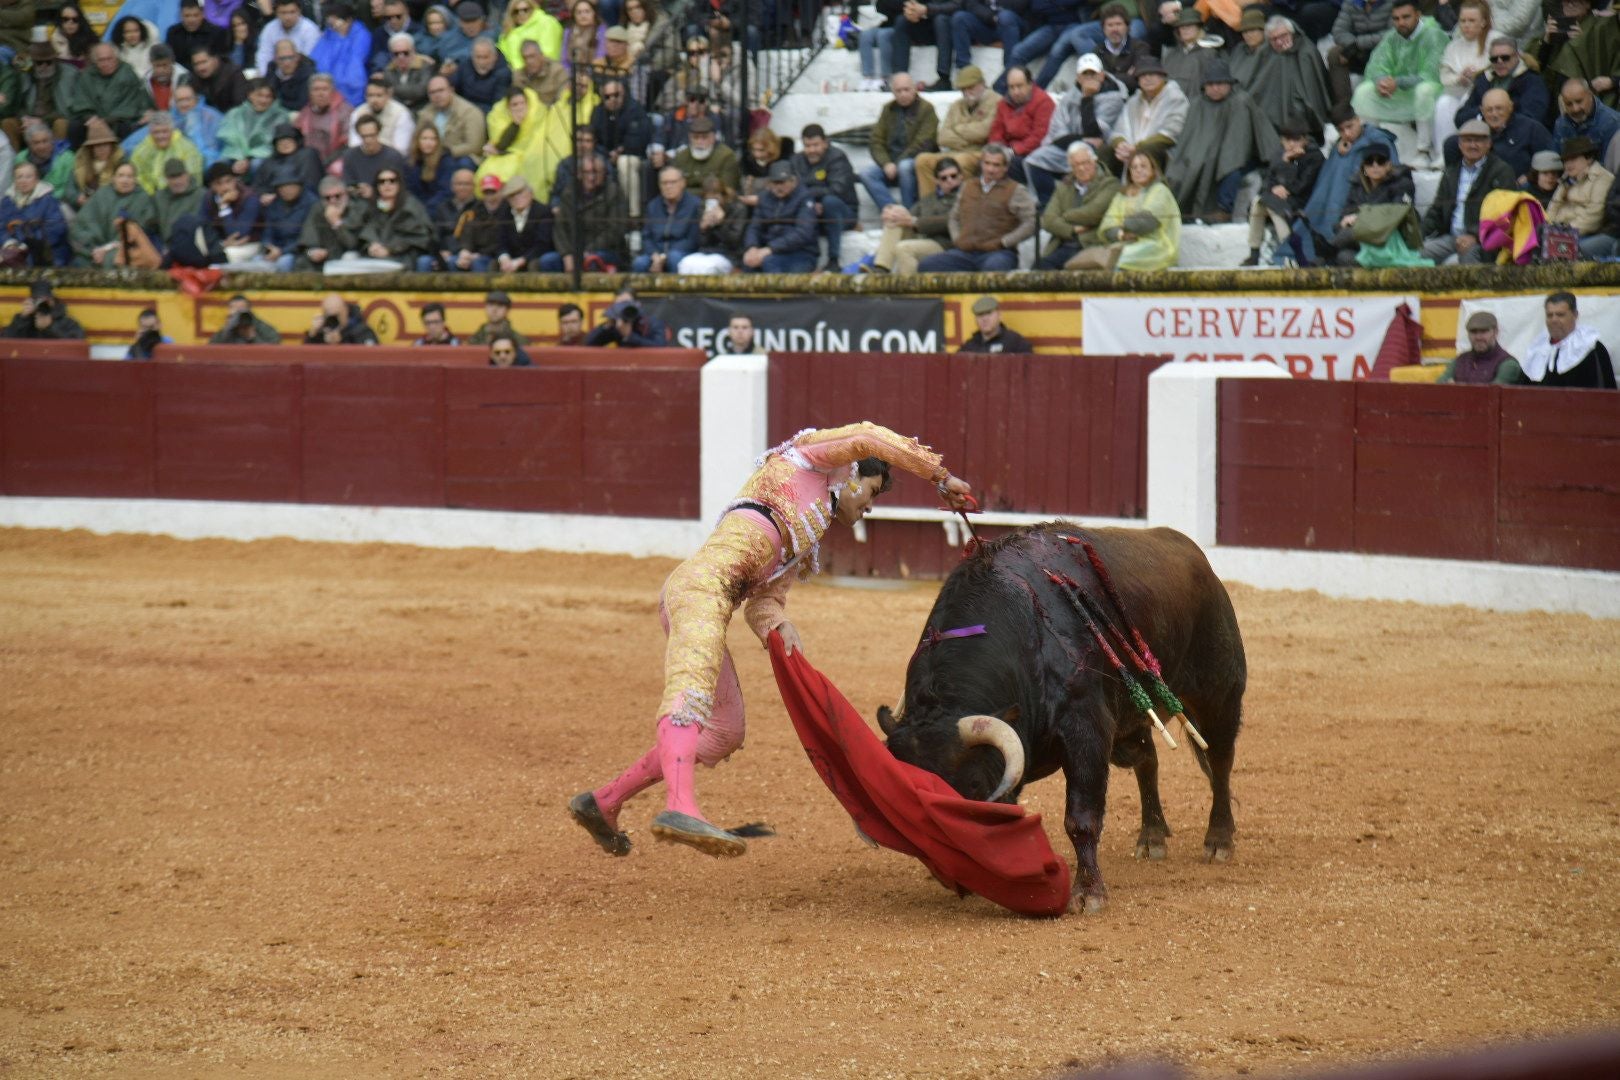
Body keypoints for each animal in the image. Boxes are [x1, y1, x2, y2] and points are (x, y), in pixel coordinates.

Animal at [881, 524, 1244, 913]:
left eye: (974, 785)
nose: (955, 875)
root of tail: (1198, 557)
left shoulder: (1086, 730)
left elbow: (1081, 819)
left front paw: (1088, 893)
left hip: (1219, 695)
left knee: (1220, 762)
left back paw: (1219, 841)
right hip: (1127, 725)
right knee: (1147, 760)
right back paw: (1152, 837)